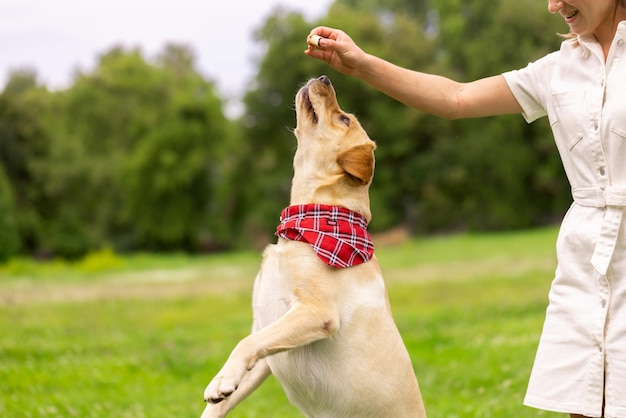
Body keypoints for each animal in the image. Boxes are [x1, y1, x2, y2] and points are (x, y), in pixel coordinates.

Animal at [200, 75, 424, 418]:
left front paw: (221, 381)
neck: (310, 222)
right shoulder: (265, 334)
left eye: (344, 119)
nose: (324, 77)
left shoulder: (315, 312)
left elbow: (244, 344)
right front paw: (223, 386)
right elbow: (233, 382)